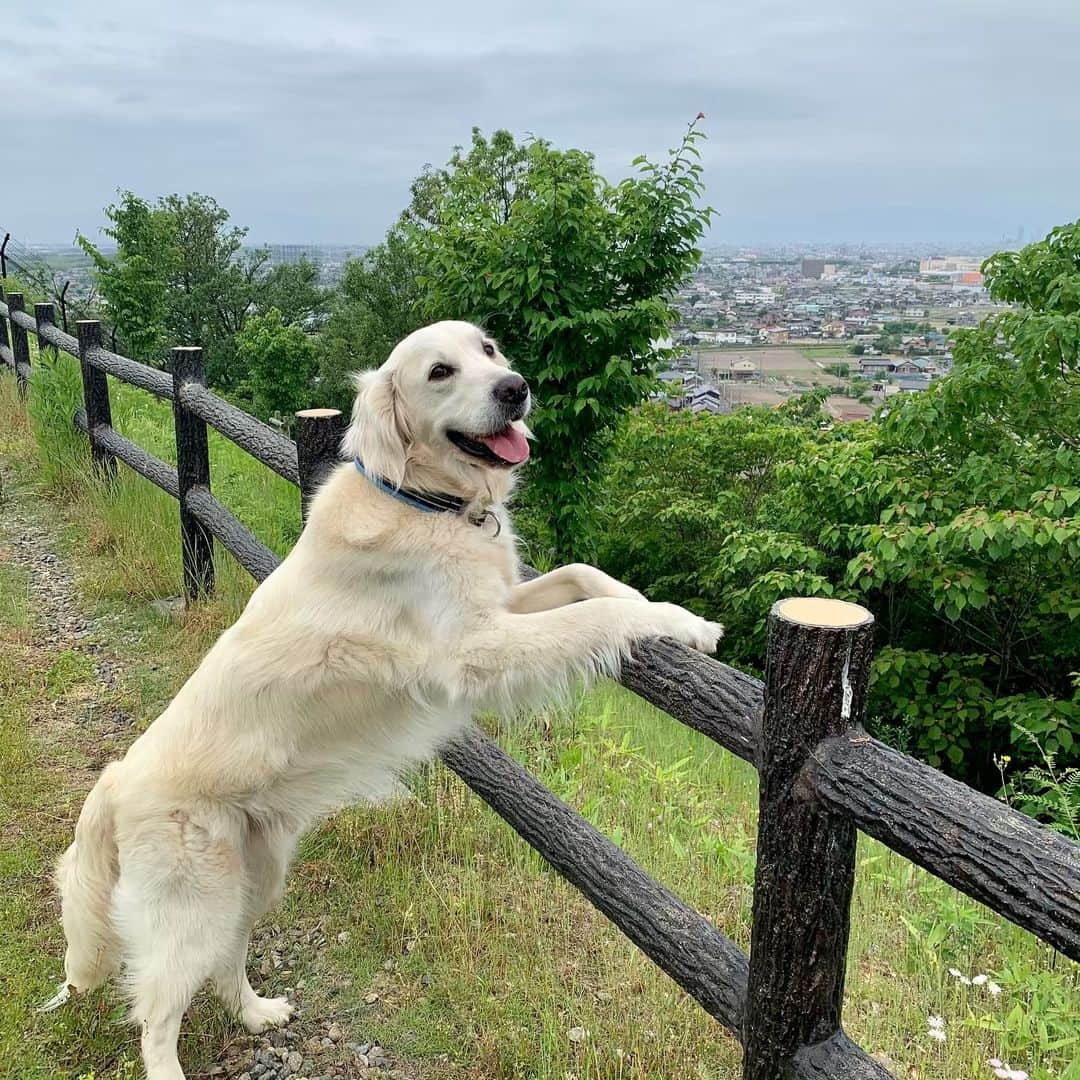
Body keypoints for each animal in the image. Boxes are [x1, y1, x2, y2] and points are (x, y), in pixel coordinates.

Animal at [52, 321, 725, 1080]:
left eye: (489, 350)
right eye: (439, 372)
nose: (515, 388)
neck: (425, 499)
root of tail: (114, 781)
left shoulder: (502, 605)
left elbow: (584, 575)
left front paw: (670, 612)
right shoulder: (477, 647)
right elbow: (593, 616)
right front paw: (679, 623)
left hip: (255, 876)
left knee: (228, 958)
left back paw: (257, 1013)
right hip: (191, 900)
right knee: (156, 1014)